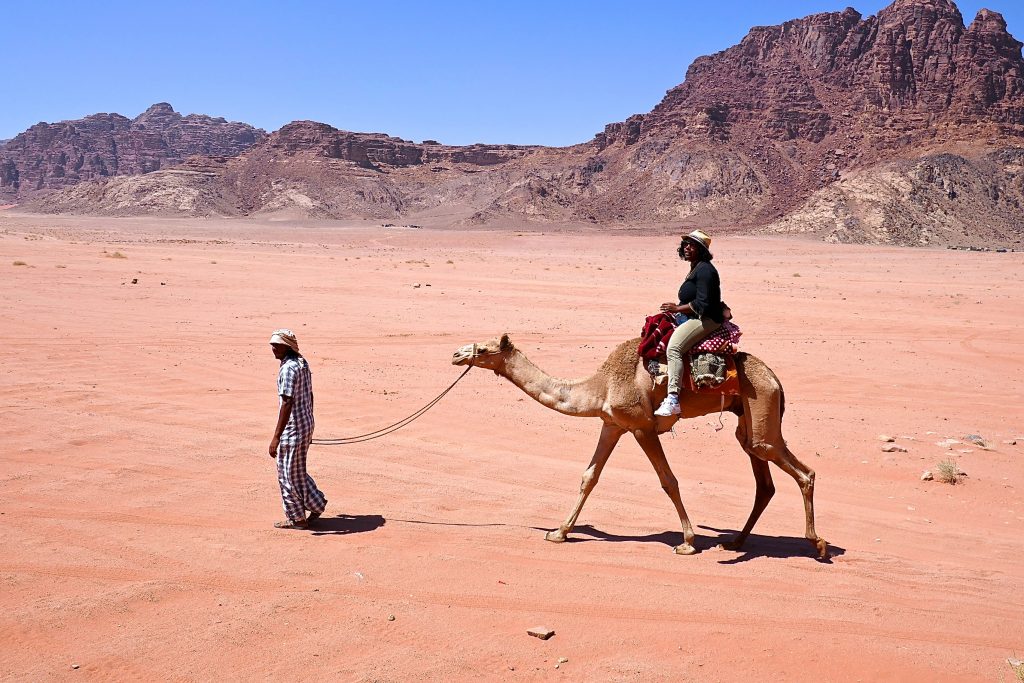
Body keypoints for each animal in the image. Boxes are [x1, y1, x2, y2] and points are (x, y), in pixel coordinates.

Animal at [452, 333, 827, 557]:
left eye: (484, 349)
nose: (457, 354)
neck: (600, 385)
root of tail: (775, 377)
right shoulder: (612, 425)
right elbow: (589, 477)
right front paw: (559, 532)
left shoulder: (642, 428)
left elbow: (668, 481)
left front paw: (687, 543)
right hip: (748, 420)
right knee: (763, 478)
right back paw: (735, 541)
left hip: (761, 403)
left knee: (802, 471)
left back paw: (818, 544)